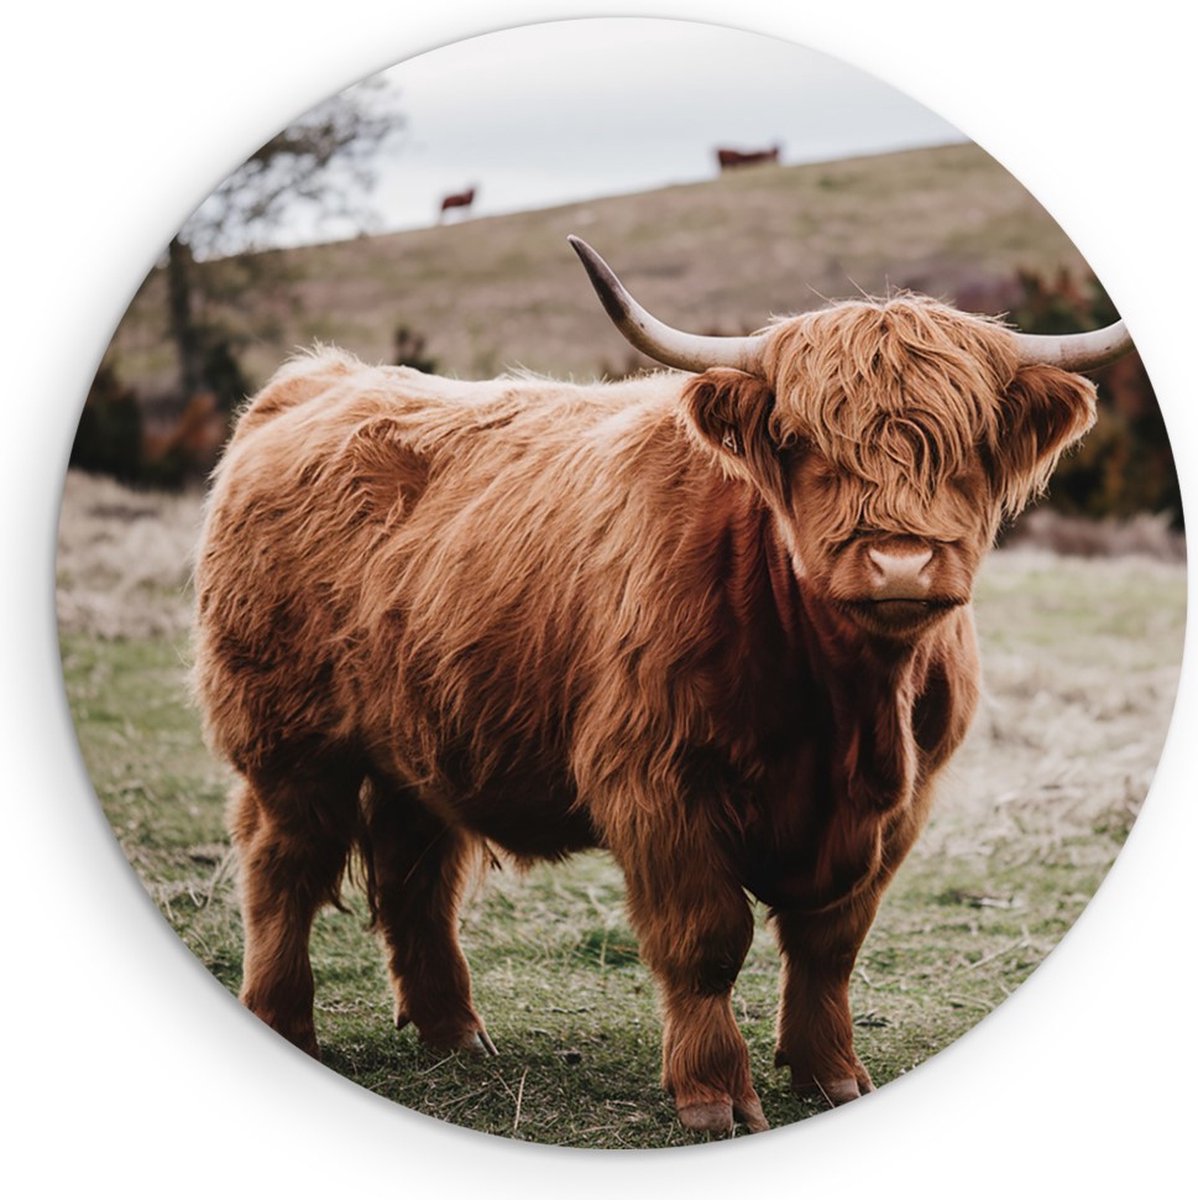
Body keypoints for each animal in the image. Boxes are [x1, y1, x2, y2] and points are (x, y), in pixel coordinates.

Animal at [192, 235, 1132, 1136]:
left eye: (968, 448)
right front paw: (714, 1095)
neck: (848, 709)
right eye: (804, 446)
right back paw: (285, 1021)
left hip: (417, 739)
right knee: (283, 866)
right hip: (288, 742)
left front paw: (832, 1075)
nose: (899, 562)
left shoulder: (903, 804)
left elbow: (830, 945)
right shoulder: (659, 784)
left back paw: (455, 1033)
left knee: (416, 873)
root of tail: (318, 379)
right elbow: (706, 941)